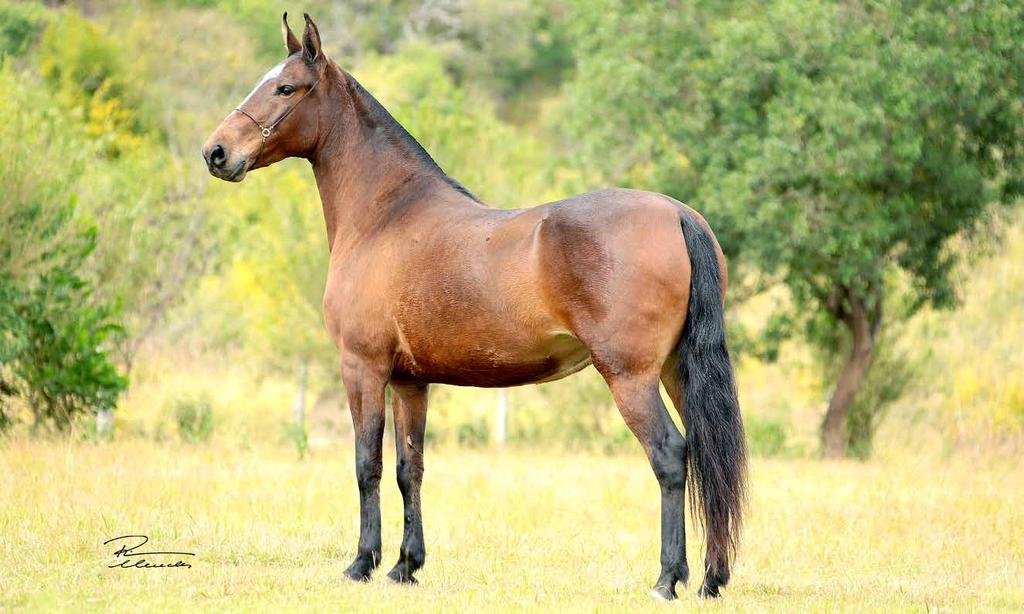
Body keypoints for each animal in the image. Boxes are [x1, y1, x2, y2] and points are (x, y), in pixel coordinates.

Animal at [201, 13, 745, 597]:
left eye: (285, 87)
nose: (216, 153)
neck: (386, 214)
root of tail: (677, 214)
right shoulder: (410, 381)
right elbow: (408, 469)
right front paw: (405, 566)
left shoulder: (363, 368)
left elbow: (367, 465)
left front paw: (362, 563)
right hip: (675, 370)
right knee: (707, 457)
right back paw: (711, 579)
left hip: (630, 377)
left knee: (670, 456)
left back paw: (667, 579)